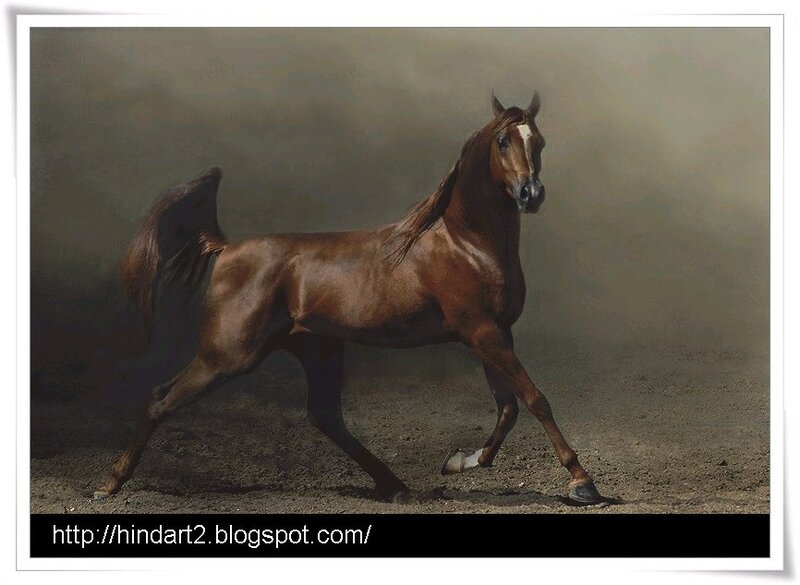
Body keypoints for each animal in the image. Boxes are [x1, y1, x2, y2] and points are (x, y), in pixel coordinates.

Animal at [94, 93, 602, 504]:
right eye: (502, 141)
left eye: (539, 141)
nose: (531, 194)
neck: (467, 243)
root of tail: (228, 248)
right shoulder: (482, 332)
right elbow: (534, 399)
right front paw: (583, 483)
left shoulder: (492, 334)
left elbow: (508, 407)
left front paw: (462, 460)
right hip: (228, 355)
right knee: (161, 400)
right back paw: (109, 485)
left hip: (316, 348)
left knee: (324, 417)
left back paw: (397, 487)